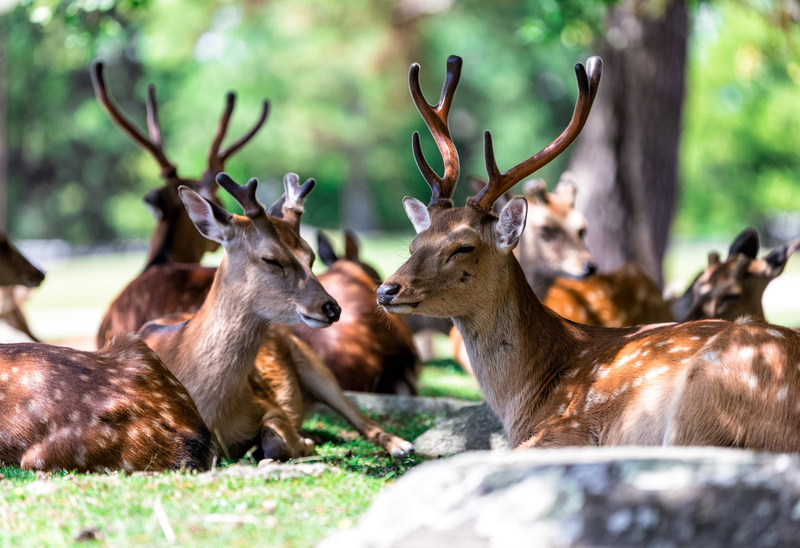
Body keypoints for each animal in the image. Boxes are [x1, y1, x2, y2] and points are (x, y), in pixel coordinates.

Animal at [377, 54, 800, 453]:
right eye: (414, 244)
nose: (386, 289)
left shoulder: (571, 428)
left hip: (702, 402)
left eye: (464, 246)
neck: (525, 398)